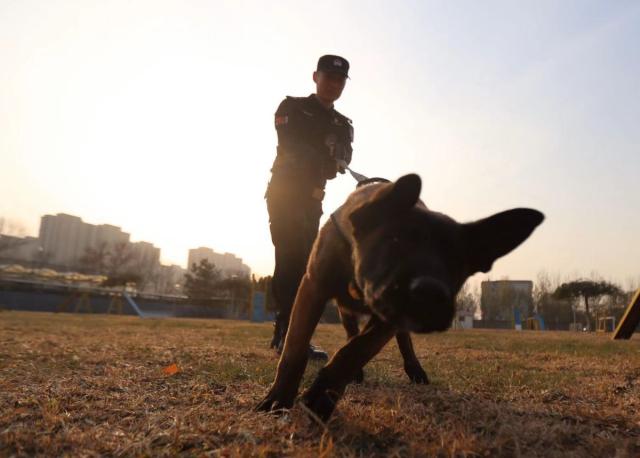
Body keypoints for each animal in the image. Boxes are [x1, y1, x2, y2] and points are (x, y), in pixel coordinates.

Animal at [256, 174, 544, 420]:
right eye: (394, 241)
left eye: (457, 263)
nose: (430, 293)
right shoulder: (313, 288)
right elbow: (295, 350)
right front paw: (279, 399)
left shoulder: (387, 319)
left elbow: (353, 352)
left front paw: (321, 398)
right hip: (344, 308)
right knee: (350, 331)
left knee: (401, 342)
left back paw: (414, 369)